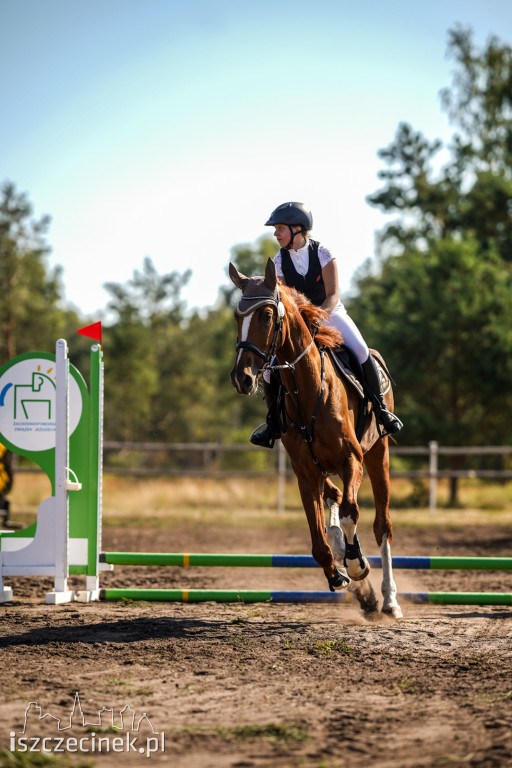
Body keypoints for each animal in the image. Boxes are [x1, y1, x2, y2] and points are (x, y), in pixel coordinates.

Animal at [230, 258, 402, 616]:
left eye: (266, 315)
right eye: (237, 318)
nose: (242, 378)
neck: (308, 391)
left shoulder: (352, 460)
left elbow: (352, 512)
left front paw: (356, 566)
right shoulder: (305, 473)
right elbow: (318, 540)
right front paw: (338, 574)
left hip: (378, 454)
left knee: (382, 525)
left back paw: (389, 599)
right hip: (324, 468)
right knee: (334, 500)